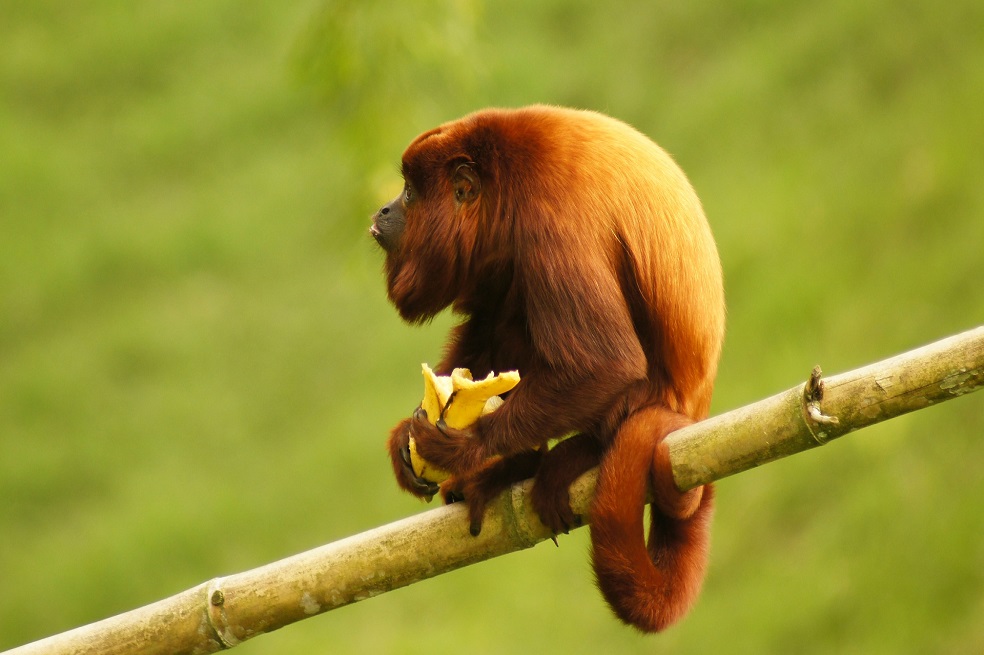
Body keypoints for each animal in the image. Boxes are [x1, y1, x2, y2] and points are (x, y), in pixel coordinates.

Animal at [369, 105, 725, 633]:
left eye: (410, 192)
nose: (383, 211)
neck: (503, 187)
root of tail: (693, 407)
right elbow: (485, 323)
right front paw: (406, 437)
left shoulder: (548, 217)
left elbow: (608, 360)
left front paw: (465, 448)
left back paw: (576, 453)